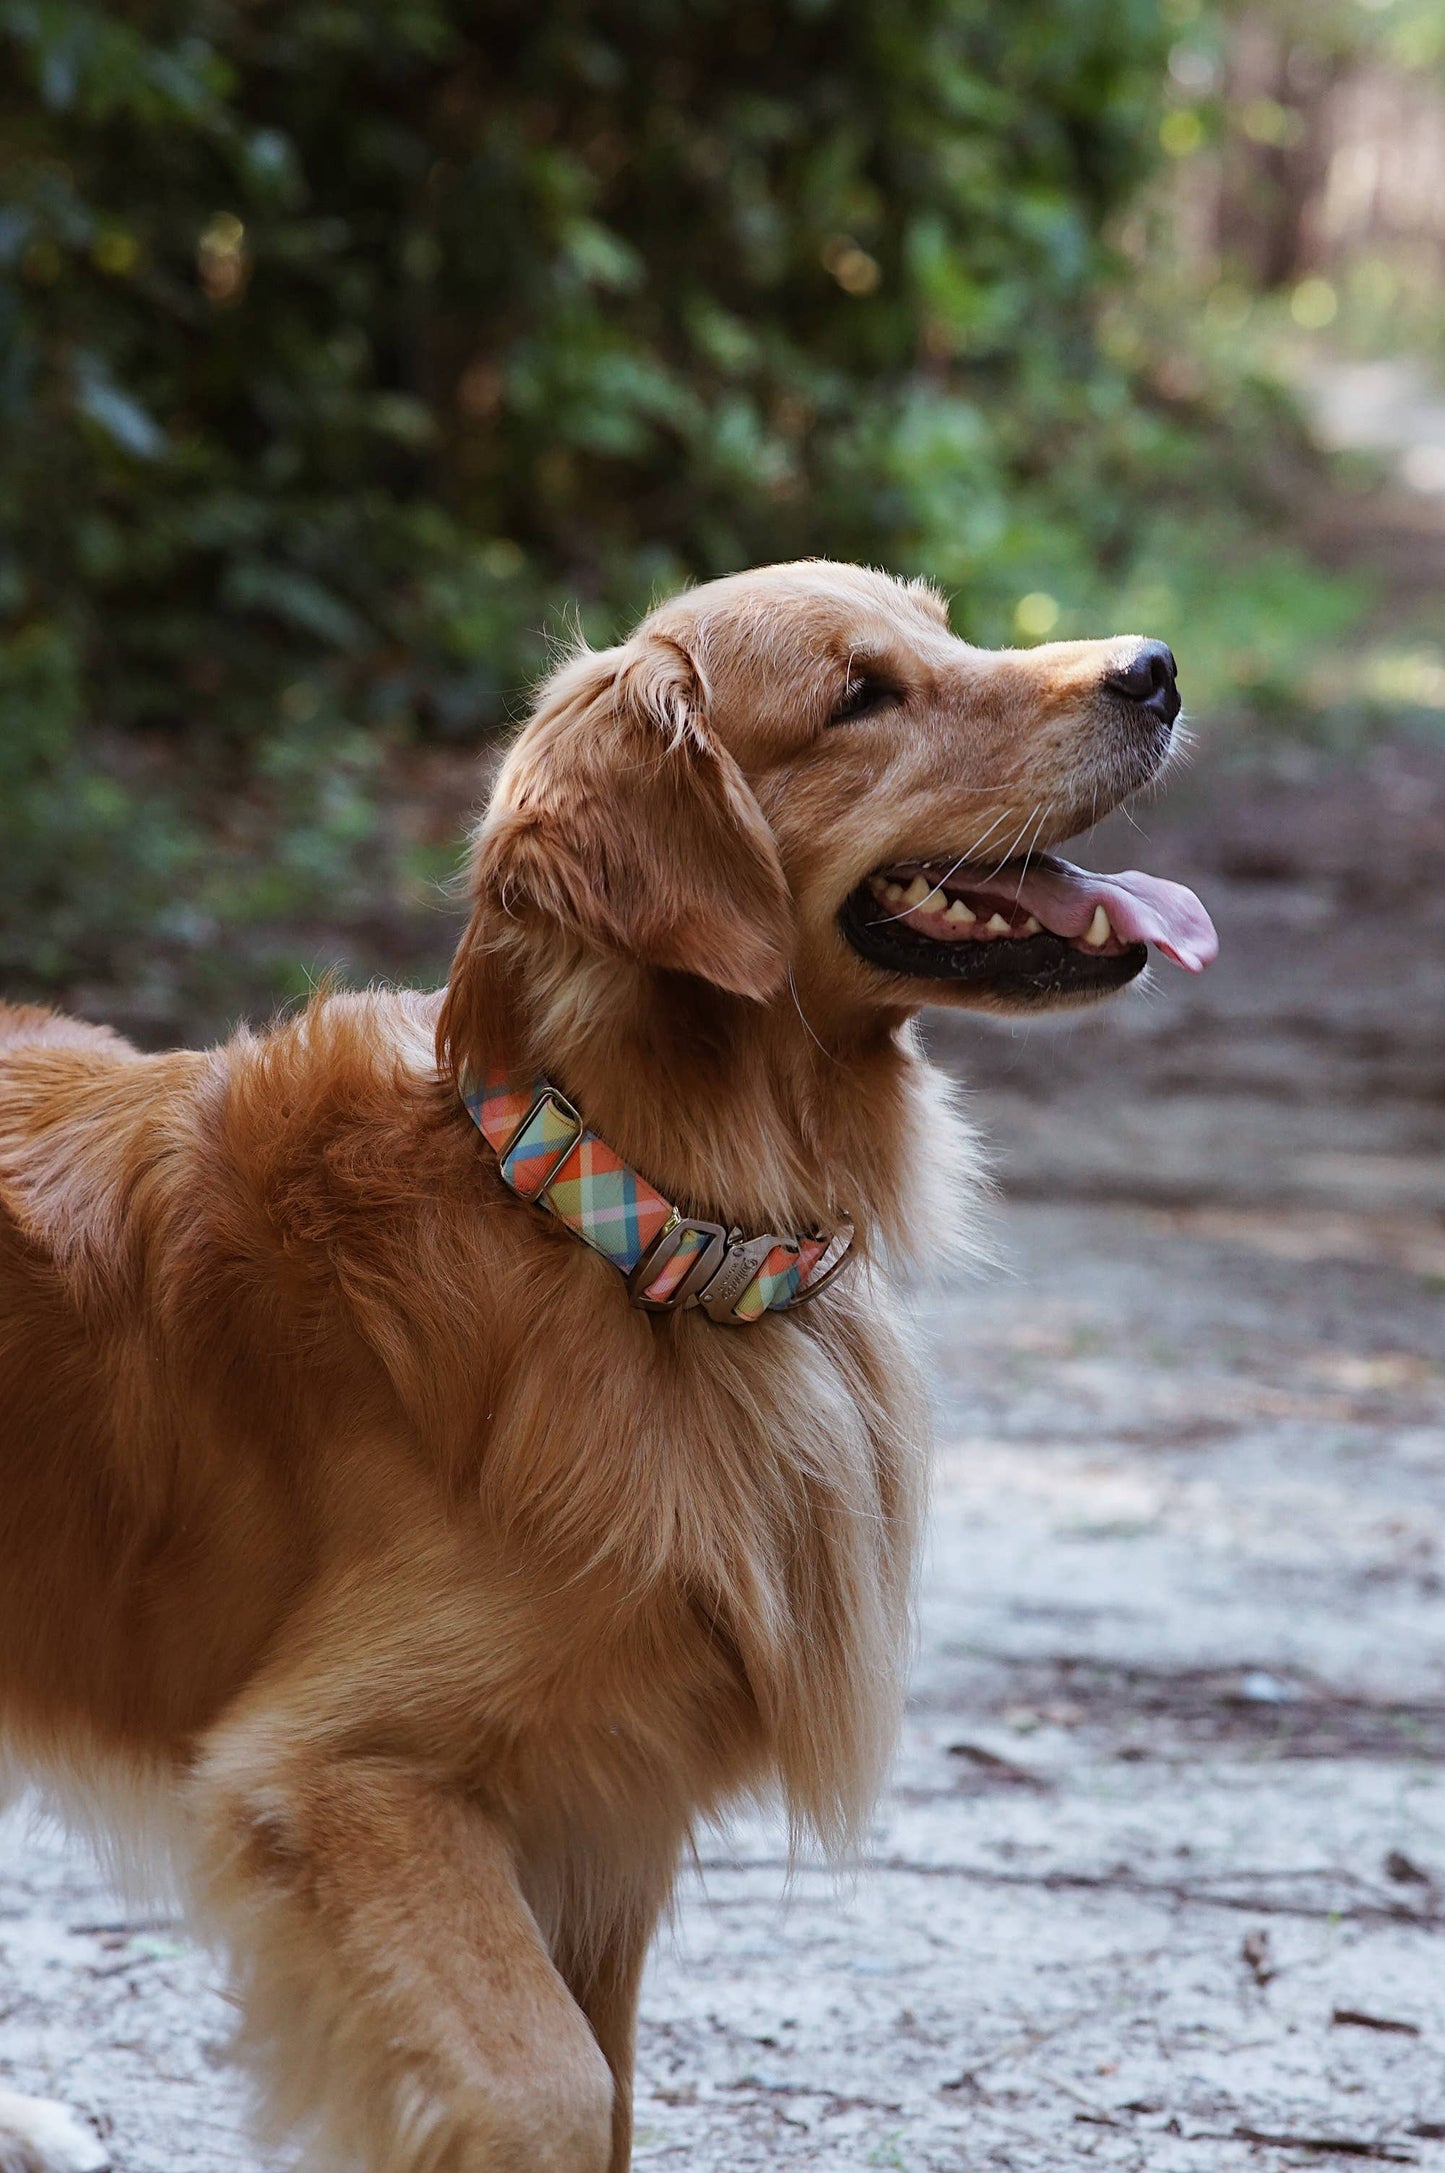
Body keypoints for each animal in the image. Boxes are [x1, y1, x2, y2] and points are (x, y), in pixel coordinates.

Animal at [2, 564, 1208, 2173]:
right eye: (859, 695)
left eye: (945, 625)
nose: (1156, 667)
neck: (622, 1231)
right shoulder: (333, 1774)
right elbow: (550, 2088)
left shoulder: (603, 1829)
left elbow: (613, 2090)